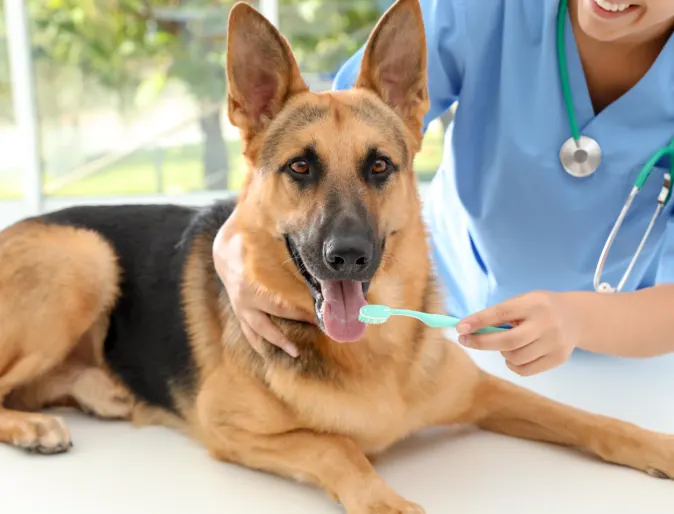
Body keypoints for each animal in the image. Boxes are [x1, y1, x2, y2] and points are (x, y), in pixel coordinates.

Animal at [1, 2, 672, 510]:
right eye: (301, 167)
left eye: (379, 167)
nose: (347, 257)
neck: (373, 353)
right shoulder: (229, 430)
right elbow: (337, 446)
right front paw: (388, 502)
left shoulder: (486, 391)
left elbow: (584, 417)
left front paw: (655, 446)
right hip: (85, 258)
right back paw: (35, 426)